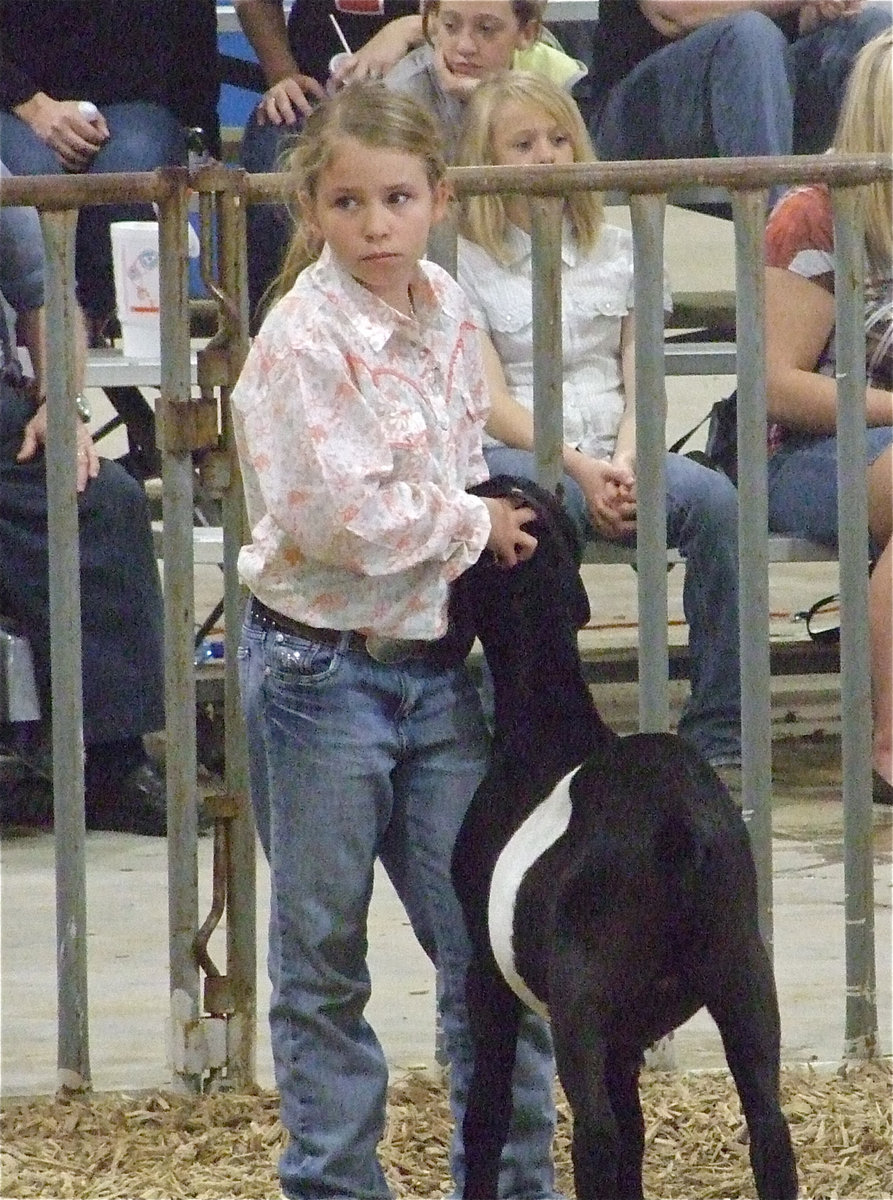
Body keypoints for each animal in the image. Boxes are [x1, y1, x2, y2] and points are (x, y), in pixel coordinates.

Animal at [448, 475, 796, 1200]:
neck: (546, 721)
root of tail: (676, 826)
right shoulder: (627, 1032)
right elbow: (636, 1127)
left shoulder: (486, 971)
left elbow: (488, 1112)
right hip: (743, 969)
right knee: (768, 1125)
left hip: (581, 995)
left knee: (597, 1133)